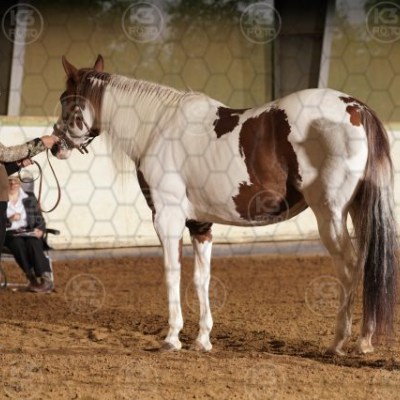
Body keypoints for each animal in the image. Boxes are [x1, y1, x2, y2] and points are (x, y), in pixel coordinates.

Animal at [51, 55, 398, 356]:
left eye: (66, 99)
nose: (54, 146)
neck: (156, 127)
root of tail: (357, 107)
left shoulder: (167, 218)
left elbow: (172, 273)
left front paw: (172, 337)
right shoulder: (199, 224)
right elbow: (201, 279)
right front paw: (202, 339)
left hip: (331, 215)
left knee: (349, 266)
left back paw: (339, 341)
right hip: (357, 211)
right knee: (367, 263)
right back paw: (364, 340)